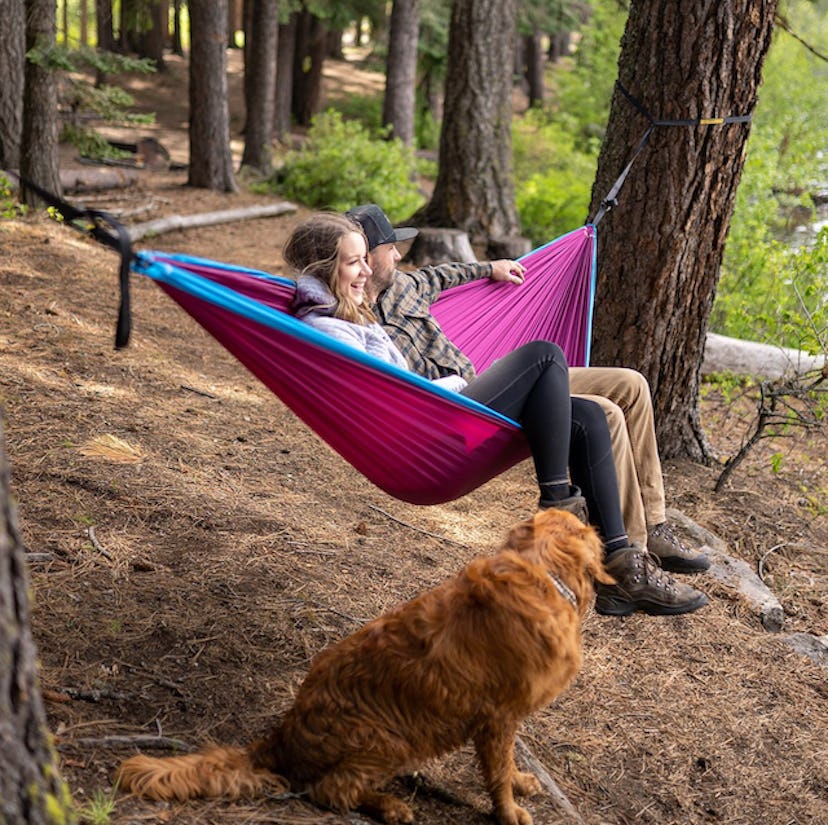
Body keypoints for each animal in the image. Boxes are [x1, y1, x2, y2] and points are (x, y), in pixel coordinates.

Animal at [116, 508, 612, 824]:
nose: (579, 494)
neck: (541, 571)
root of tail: (280, 738)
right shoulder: (498, 717)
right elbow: (497, 775)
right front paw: (508, 812)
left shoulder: (503, 721)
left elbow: (507, 768)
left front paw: (524, 780)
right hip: (390, 738)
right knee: (332, 791)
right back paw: (390, 806)